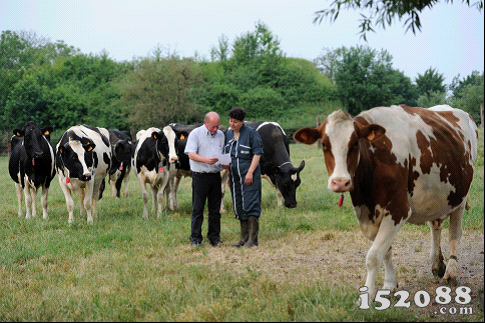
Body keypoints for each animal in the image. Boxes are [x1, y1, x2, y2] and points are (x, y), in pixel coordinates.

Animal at [292, 106, 476, 302]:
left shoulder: (397, 211)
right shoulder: (368, 213)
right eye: (325, 145)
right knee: (435, 226)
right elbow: (386, 251)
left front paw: (367, 296)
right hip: (436, 198)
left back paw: (450, 274)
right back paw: (437, 265)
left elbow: (373, 256)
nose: (340, 182)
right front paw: (389, 284)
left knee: (454, 235)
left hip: (460, 197)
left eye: (355, 143)